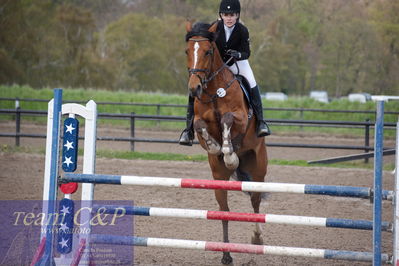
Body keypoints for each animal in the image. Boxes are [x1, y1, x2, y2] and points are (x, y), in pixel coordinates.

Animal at [185, 21, 268, 264]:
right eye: (187, 51)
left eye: (207, 51)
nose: (194, 88)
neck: (214, 91)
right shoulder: (200, 120)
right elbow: (199, 125)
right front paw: (216, 148)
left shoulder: (241, 118)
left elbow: (228, 119)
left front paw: (229, 154)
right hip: (219, 180)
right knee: (224, 211)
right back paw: (226, 254)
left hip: (258, 171)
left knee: (256, 203)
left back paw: (256, 239)